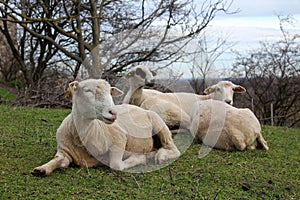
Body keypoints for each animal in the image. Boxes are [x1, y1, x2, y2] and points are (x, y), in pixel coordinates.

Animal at [31, 79, 179, 176]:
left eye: (110, 92)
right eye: (88, 91)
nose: (113, 112)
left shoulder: (119, 138)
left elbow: (116, 165)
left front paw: (140, 158)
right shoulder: (64, 151)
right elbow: (58, 160)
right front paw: (41, 169)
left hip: (160, 125)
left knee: (173, 149)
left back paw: (160, 155)